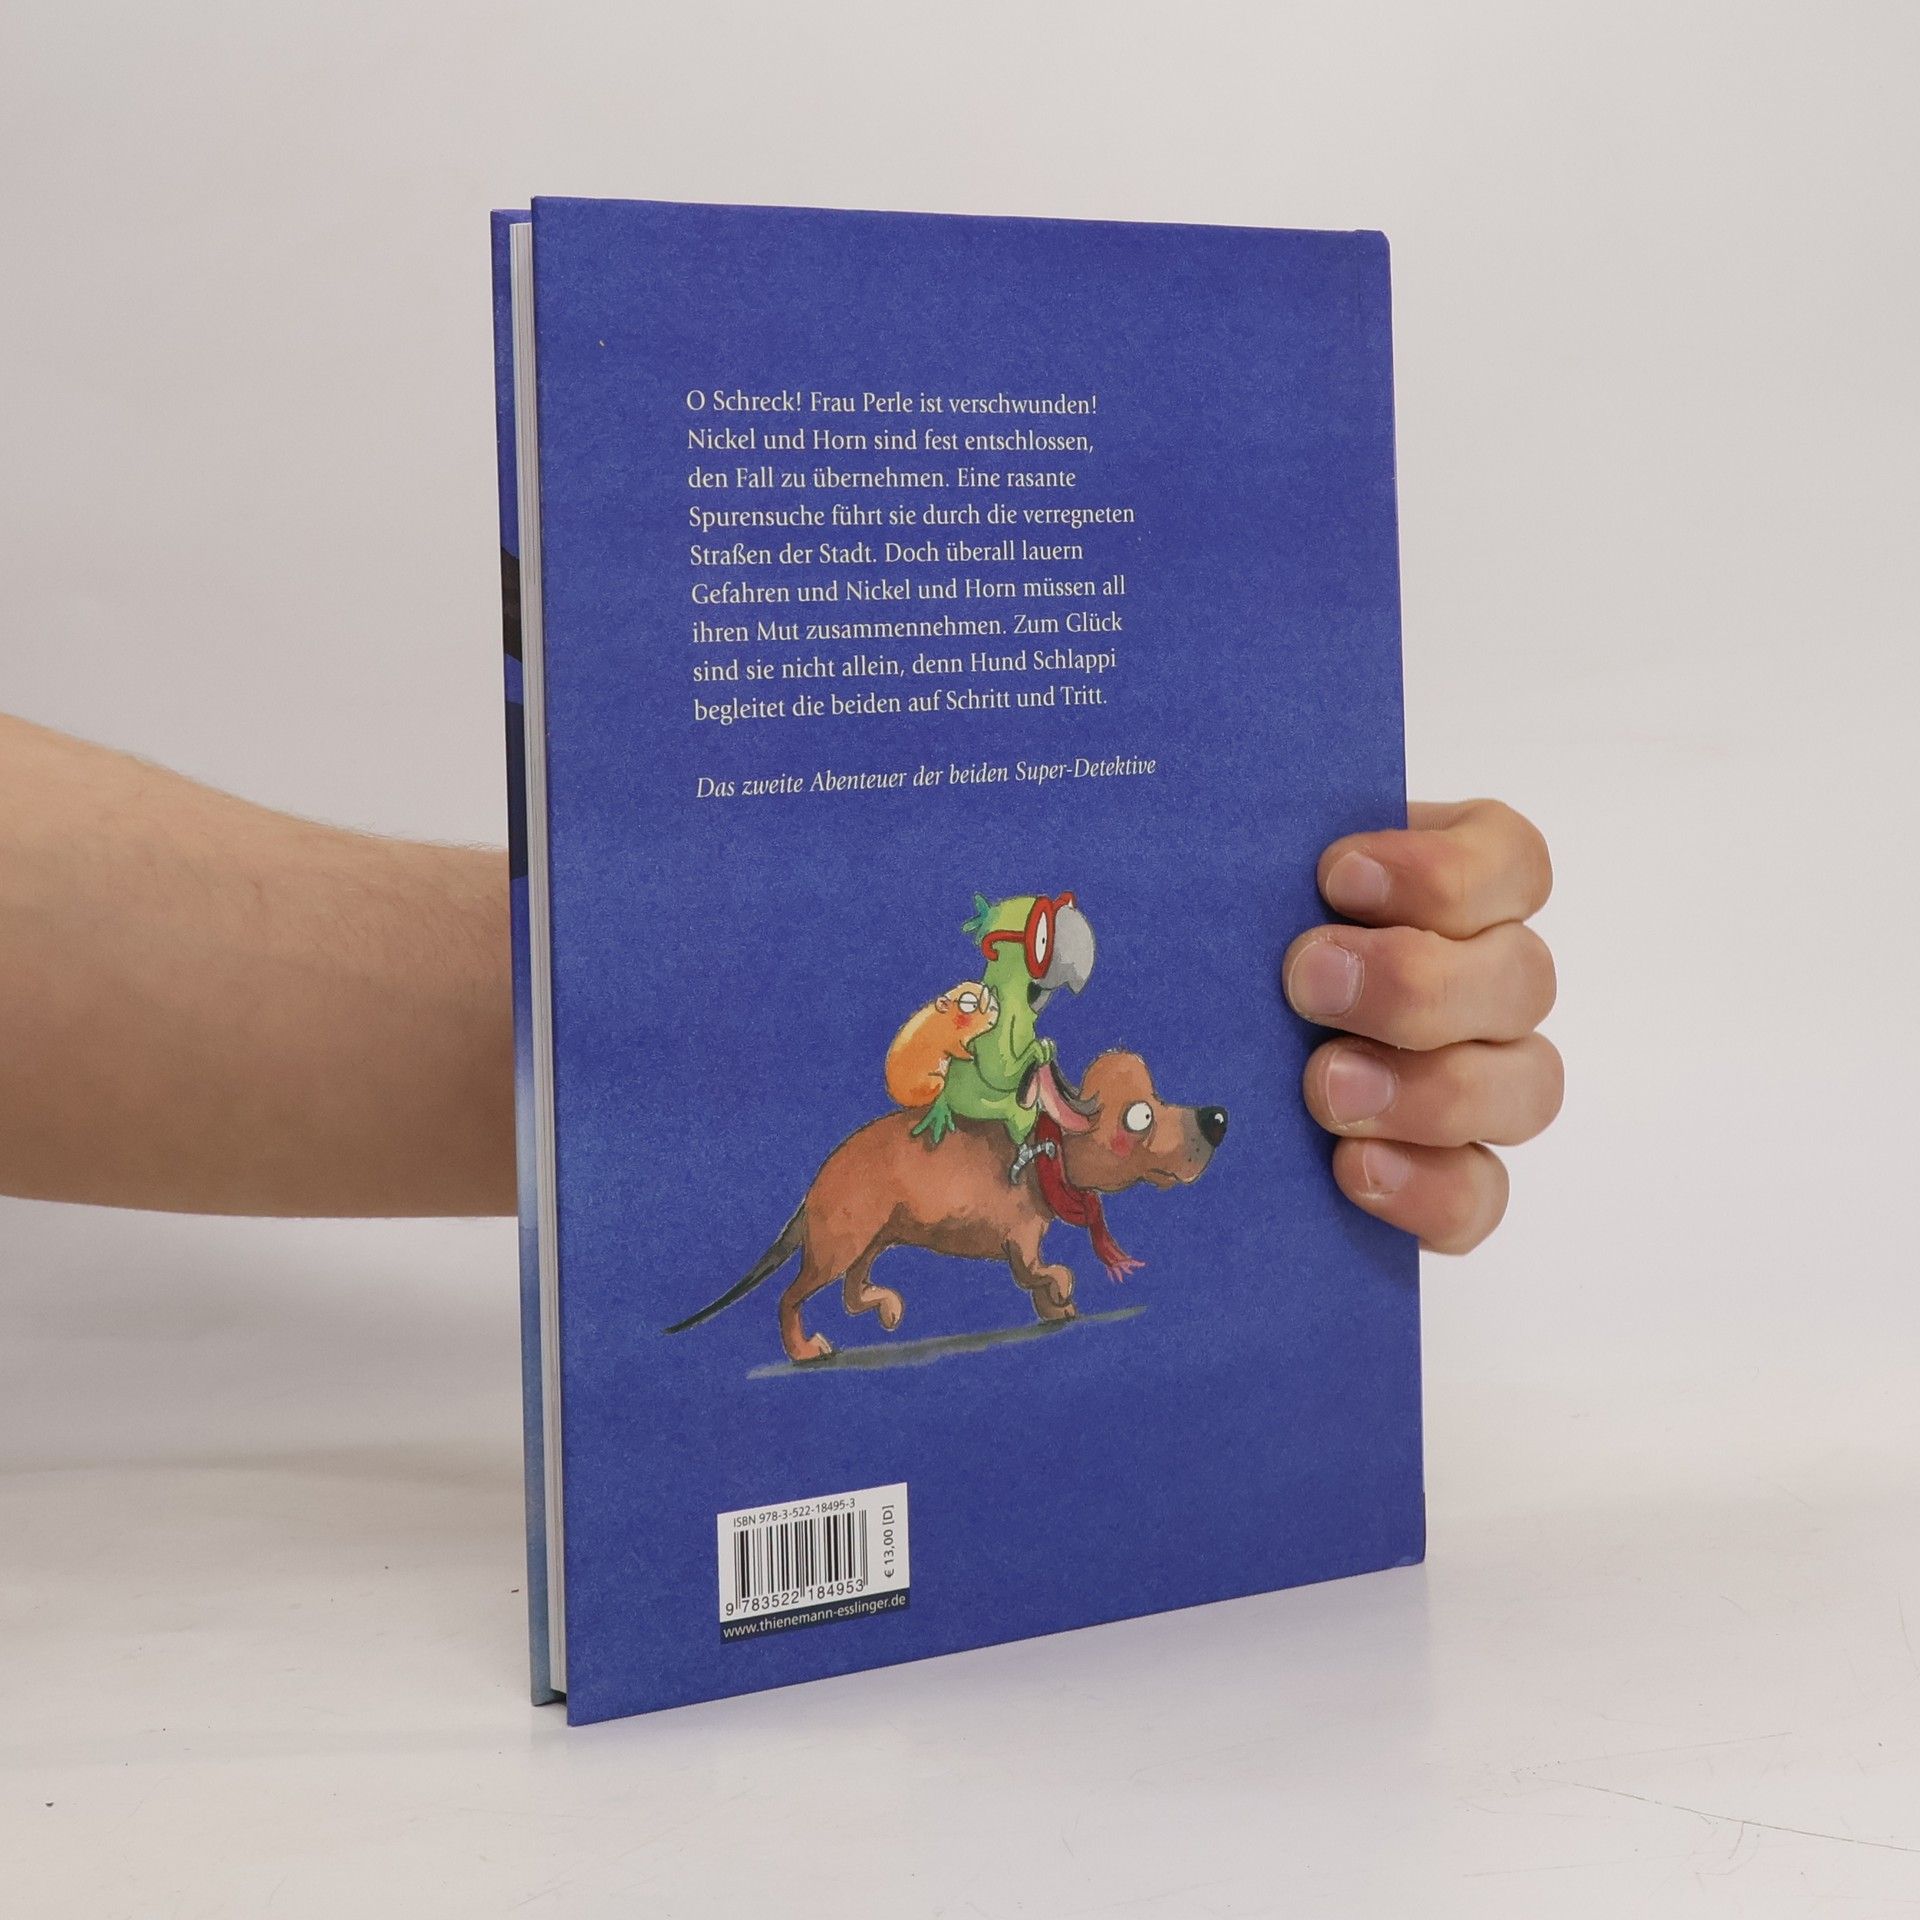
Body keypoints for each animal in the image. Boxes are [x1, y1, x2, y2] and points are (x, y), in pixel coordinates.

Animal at [665, 1050, 1226, 1364]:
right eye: (1140, 1116)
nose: (1216, 1118)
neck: (1047, 1145)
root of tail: (814, 1189)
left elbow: (1037, 1281)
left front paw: (1055, 1309)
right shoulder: (1019, 1241)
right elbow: (1040, 1271)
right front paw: (1061, 1291)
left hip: (871, 1241)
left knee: (852, 1293)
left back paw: (888, 1309)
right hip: (836, 1245)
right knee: (790, 1298)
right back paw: (804, 1351)